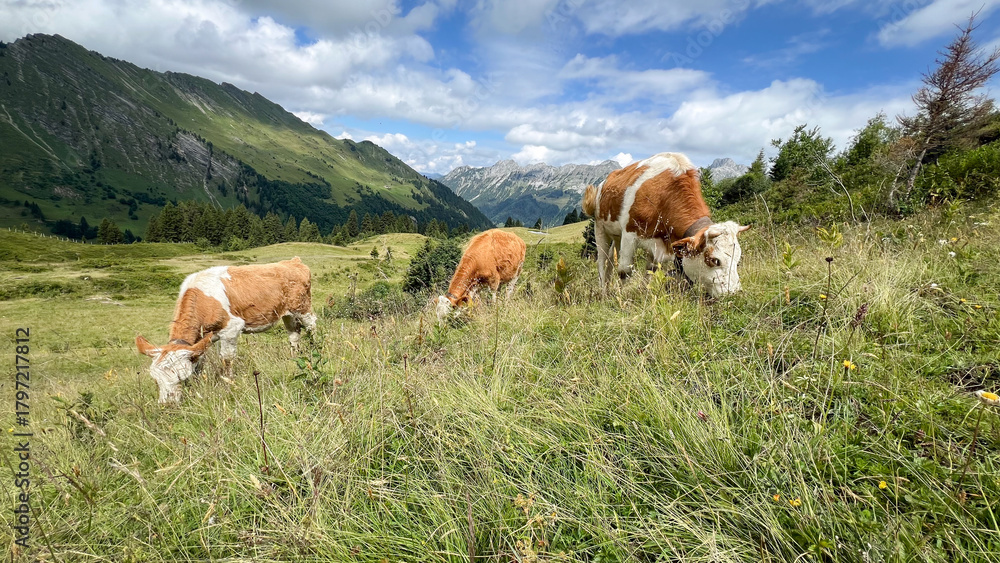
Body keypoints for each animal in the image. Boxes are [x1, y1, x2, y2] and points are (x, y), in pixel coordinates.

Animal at [135, 257, 317, 403]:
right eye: (155, 380)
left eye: (182, 378)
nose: (168, 404)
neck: (204, 300)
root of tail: (293, 261)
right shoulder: (202, 340)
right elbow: (200, 363)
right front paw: (199, 384)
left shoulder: (231, 329)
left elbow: (227, 359)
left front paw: (229, 382)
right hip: (287, 313)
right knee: (294, 333)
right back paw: (293, 357)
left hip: (302, 307)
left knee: (312, 325)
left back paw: (315, 349)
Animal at [581, 152, 750, 297]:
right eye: (715, 260)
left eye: (738, 259)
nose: (734, 293)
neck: (665, 195)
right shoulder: (629, 233)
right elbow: (624, 271)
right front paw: (623, 300)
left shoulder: (656, 243)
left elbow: (651, 270)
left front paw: (645, 293)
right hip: (599, 227)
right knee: (602, 260)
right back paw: (604, 292)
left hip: (616, 235)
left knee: (611, 257)